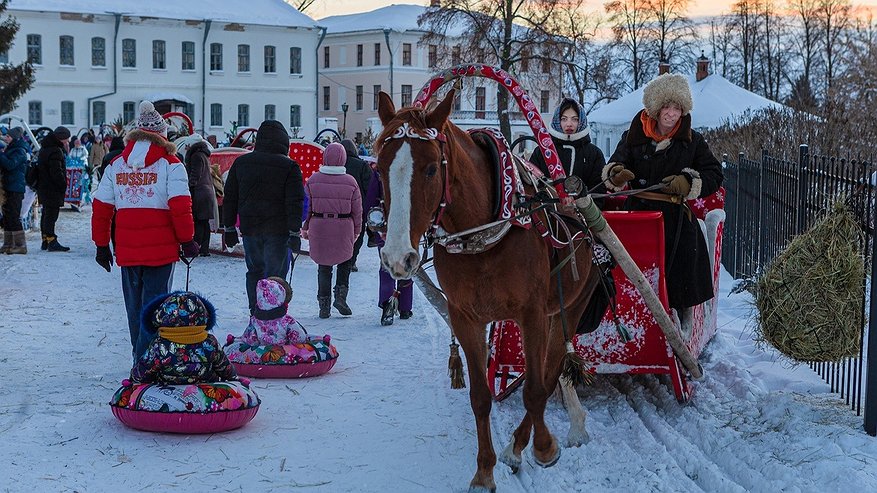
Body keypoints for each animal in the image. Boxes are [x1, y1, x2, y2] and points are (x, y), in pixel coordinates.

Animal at [372, 90, 600, 490]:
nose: (397, 256)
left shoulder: (531, 314)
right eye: (380, 167)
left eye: (431, 168)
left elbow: (534, 390)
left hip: (568, 308)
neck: (486, 230)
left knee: (551, 371)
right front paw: (484, 470)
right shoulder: (465, 317)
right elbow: (480, 396)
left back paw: (537, 439)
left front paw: (543, 446)